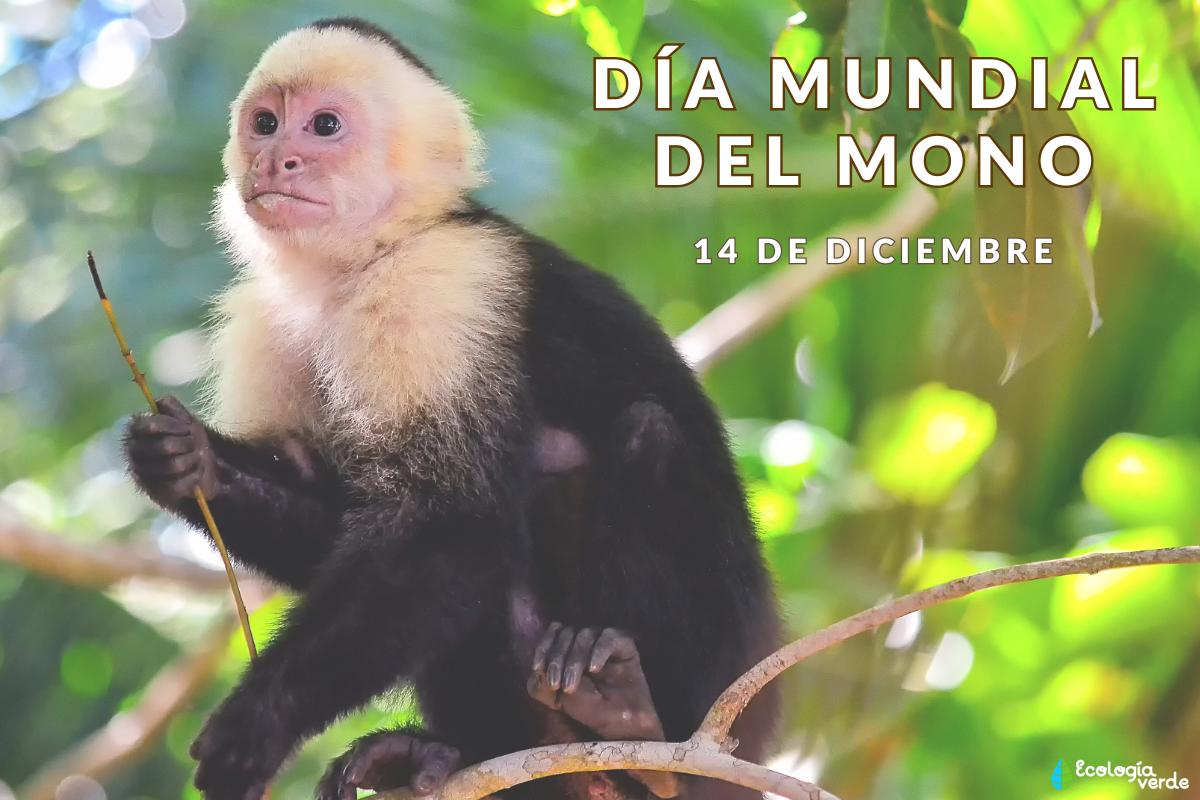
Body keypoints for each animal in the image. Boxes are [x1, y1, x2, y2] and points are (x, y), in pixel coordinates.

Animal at [123, 17, 781, 800]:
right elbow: (342, 524)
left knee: (648, 436)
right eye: (264, 123)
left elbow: (447, 522)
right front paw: (185, 460)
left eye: (324, 126)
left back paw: (642, 728)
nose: (278, 159)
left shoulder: (437, 283)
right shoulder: (266, 321)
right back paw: (450, 754)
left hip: (729, 680)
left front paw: (260, 722)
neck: (359, 264)